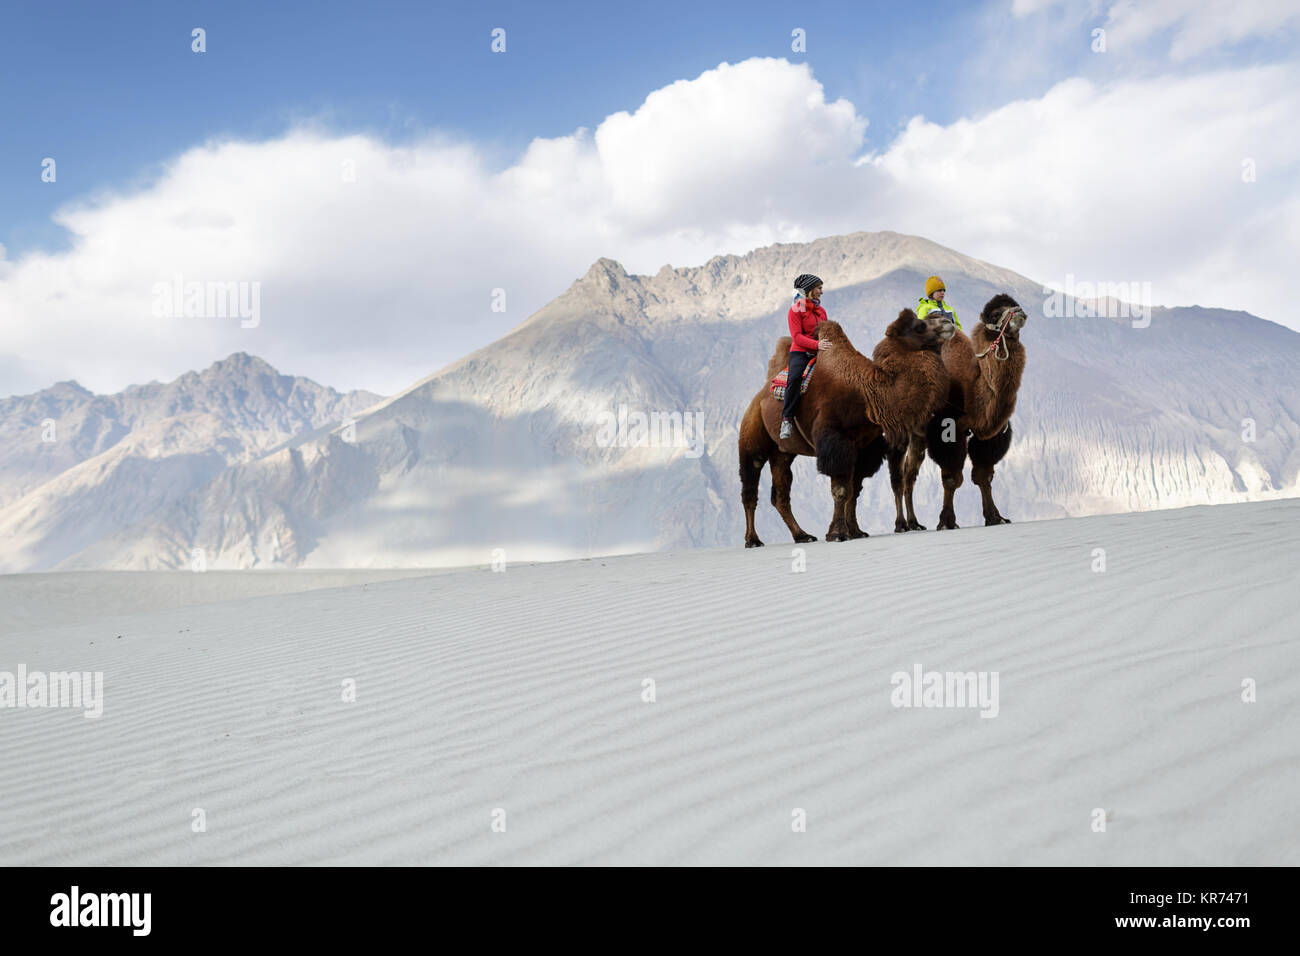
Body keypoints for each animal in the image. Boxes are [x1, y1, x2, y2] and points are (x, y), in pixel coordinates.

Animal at [743, 308, 956, 541]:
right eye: (920, 326)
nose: (948, 321)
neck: (867, 394)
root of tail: (759, 396)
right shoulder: (836, 442)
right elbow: (841, 490)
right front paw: (837, 533)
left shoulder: (863, 448)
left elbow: (853, 490)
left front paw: (854, 531)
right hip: (752, 435)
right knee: (750, 486)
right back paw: (753, 540)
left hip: (782, 452)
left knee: (780, 494)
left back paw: (803, 535)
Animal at [889, 291, 1029, 530]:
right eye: (995, 314)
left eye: (1014, 304)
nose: (1019, 312)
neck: (970, 388)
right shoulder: (947, 429)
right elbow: (952, 478)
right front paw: (947, 521)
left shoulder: (989, 435)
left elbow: (983, 475)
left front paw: (995, 517)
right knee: (898, 475)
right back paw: (901, 524)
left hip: (918, 437)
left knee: (910, 473)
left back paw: (914, 522)